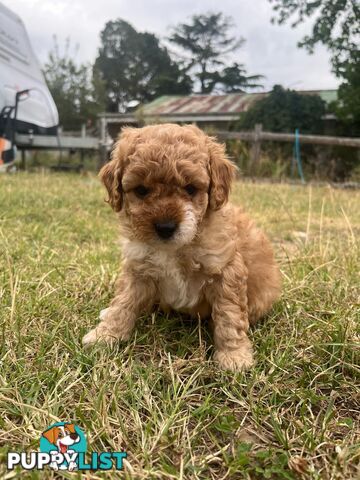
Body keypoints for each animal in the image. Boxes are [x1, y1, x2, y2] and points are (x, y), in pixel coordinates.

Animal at [84, 124, 282, 372]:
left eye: (190, 188)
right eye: (141, 190)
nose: (165, 227)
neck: (174, 248)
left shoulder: (226, 269)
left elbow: (229, 315)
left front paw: (233, 356)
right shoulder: (138, 267)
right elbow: (124, 302)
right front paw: (106, 334)